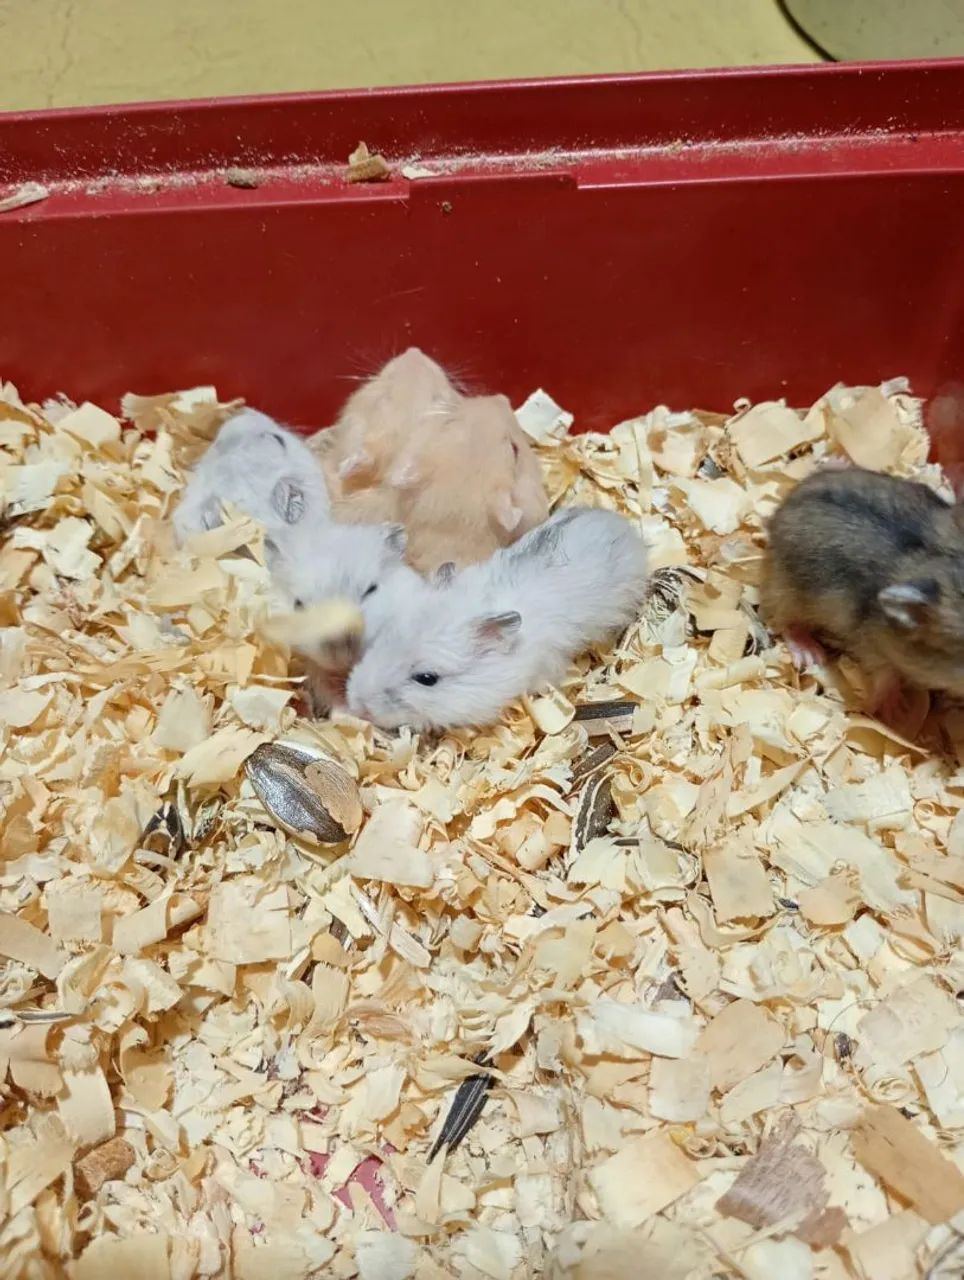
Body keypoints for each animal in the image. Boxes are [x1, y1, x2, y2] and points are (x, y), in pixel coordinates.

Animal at [760, 465, 964, 713]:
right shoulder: (871, 647)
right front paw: (898, 711)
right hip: (788, 595)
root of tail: (779, 513)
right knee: (785, 622)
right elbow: (885, 676)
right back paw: (810, 654)